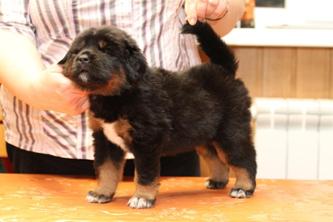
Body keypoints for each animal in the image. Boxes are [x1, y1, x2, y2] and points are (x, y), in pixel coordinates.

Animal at [59, 21, 256, 209]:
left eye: (106, 50)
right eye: (77, 50)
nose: (82, 58)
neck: (117, 95)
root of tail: (224, 70)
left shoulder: (147, 139)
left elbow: (145, 174)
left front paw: (142, 197)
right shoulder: (105, 139)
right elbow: (106, 170)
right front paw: (102, 193)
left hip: (231, 132)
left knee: (244, 158)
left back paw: (243, 188)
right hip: (203, 136)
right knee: (217, 159)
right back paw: (218, 181)